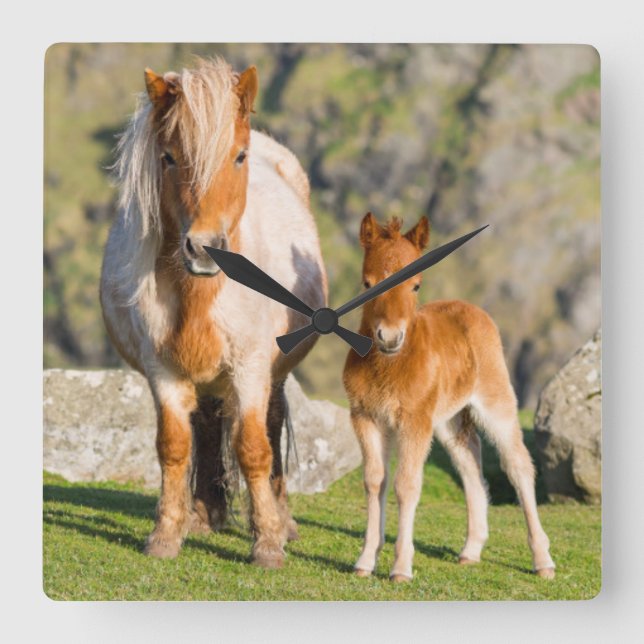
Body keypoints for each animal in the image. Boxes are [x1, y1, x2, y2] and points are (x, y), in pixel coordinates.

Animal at [100, 57, 327, 568]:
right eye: (167, 158)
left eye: (238, 157)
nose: (204, 249)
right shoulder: (162, 370)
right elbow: (173, 447)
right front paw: (166, 535)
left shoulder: (250, 367)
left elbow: (254, 448)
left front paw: (267, 545)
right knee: (204, 425)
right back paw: (206, 515)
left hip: (273, 372)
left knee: (271, 425)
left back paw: (282, 521)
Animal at [343, 213, 555, 582]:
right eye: (367, 283)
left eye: (416, 285)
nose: (389, 337)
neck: (389, 366)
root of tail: (471, 309)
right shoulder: (365, 417)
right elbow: (374, 482)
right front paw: (365, 560)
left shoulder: (414, 421)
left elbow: (406, 485)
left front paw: (401, 568)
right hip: (449, 420)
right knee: (470, 463)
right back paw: (471, 550)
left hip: (495, 403)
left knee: (518, 466)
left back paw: (542, 560)